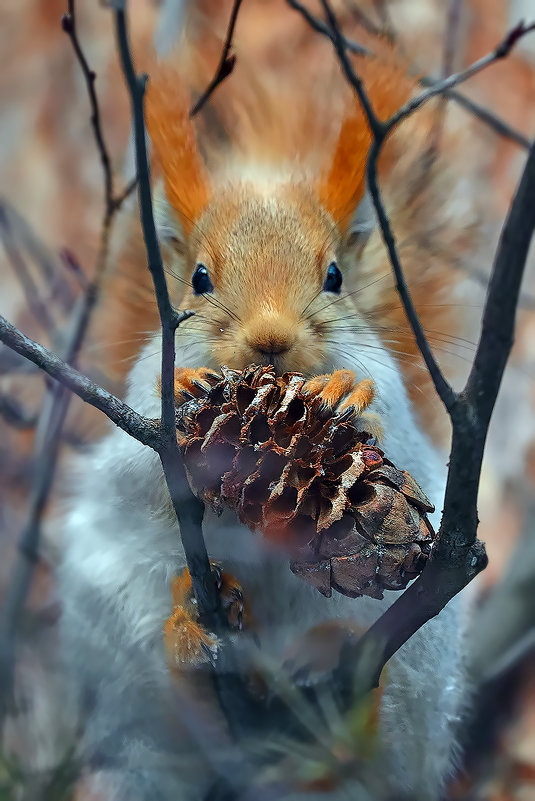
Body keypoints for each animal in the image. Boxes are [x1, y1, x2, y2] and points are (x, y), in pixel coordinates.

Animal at [59, 3, 478, 796]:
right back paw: (194, 638)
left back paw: (333, 674)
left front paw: (347, 393)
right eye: (198, 278)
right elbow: (139, 470)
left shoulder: (400, 400)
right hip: (117, 620)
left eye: (335, 276)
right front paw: (185, 395)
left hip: (418, 672)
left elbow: (389, 426)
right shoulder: (130, 421)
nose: (270, 339)